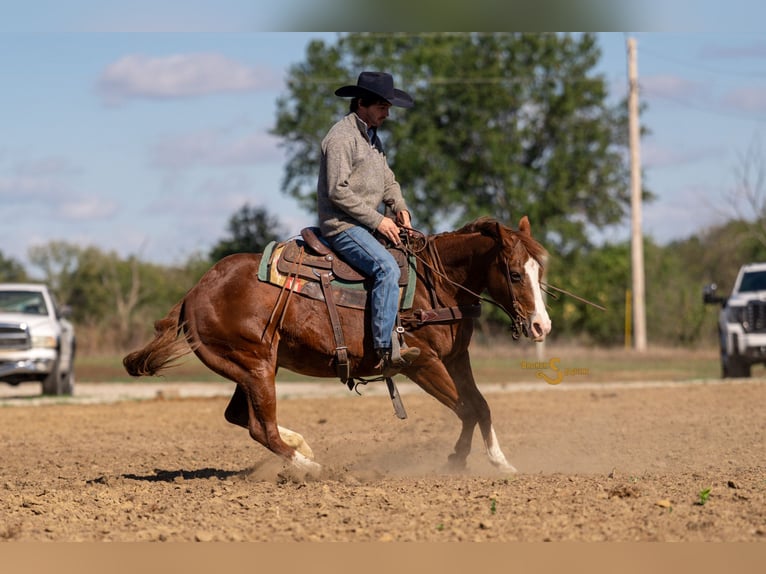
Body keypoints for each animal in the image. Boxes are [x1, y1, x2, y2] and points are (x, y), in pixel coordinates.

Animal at [122, 215, 551, 478]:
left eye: (539, 271)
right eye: (515, 274)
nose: (541, 325)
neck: (436, 284)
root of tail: (194, 293)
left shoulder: (457, 358)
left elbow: (480, 406)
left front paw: (500, 462)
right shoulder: (423, 364)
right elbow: (465, 408)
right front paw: (457, 460)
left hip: (250, 368)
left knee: (241, 417)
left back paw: (303, 447)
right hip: (255, 366)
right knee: (262, 429)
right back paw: (309, 468)